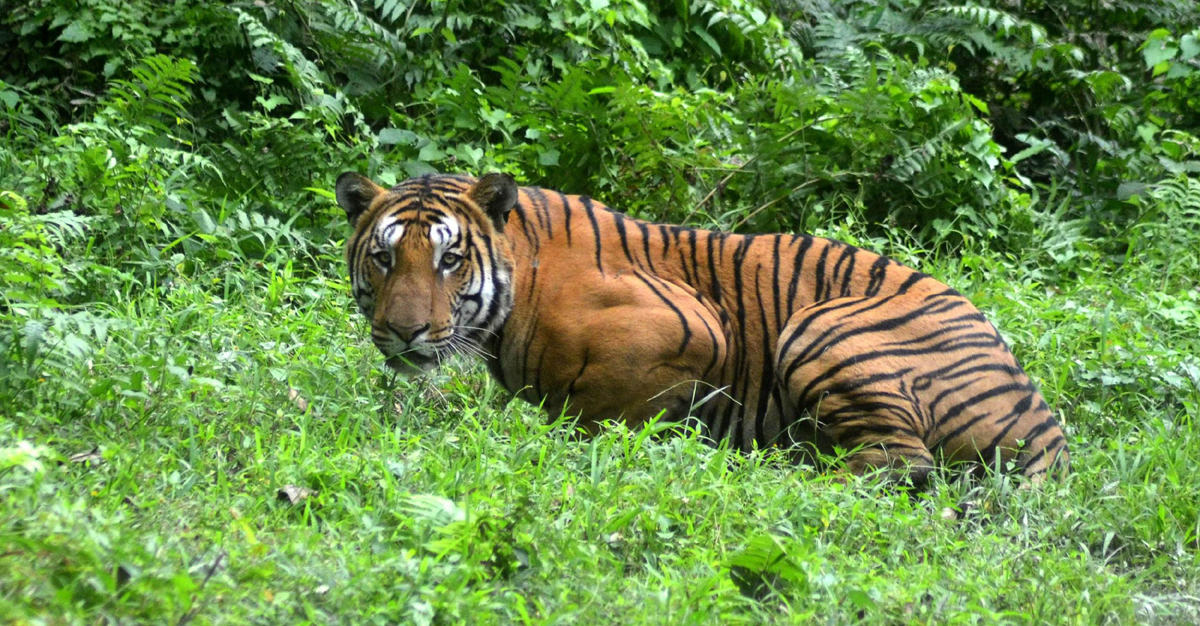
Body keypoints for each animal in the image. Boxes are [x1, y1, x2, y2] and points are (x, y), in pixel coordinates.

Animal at [336, 171, 1070, 486]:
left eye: (449, 259)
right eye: (384, 256)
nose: (404, 332)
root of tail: (1046, 425)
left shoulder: (691, 327)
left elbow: (600, 414)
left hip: (821, 326)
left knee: (897, 467)